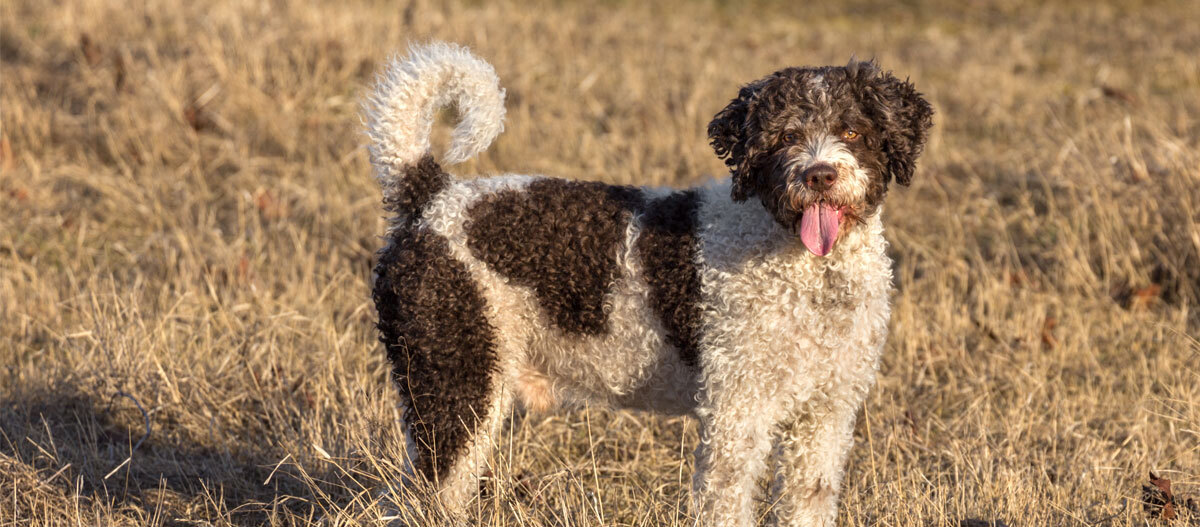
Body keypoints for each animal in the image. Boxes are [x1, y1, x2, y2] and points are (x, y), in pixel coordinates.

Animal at [360, 42, 931, 527]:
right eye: (787, 135)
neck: (804, 269)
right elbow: (726, 502)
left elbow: (807, 501)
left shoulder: (825, 417)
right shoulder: (737, 415)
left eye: (852, 132)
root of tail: (431, 197)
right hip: (455, 381)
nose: (819, 175)